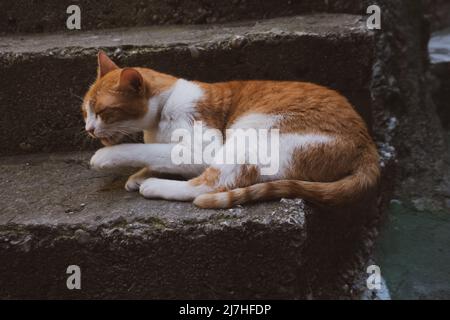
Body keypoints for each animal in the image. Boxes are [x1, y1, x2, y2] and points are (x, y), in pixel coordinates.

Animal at [81, 51, 380, 209]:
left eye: (103, 112)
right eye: (85, 112)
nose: (89, 129)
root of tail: (367, 142)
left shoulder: (202, 147)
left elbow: (146, 150)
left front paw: (110, 158)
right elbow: (156, 155)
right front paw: (140, 174)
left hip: (249, 135)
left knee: (209, 186)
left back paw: (156, 186)